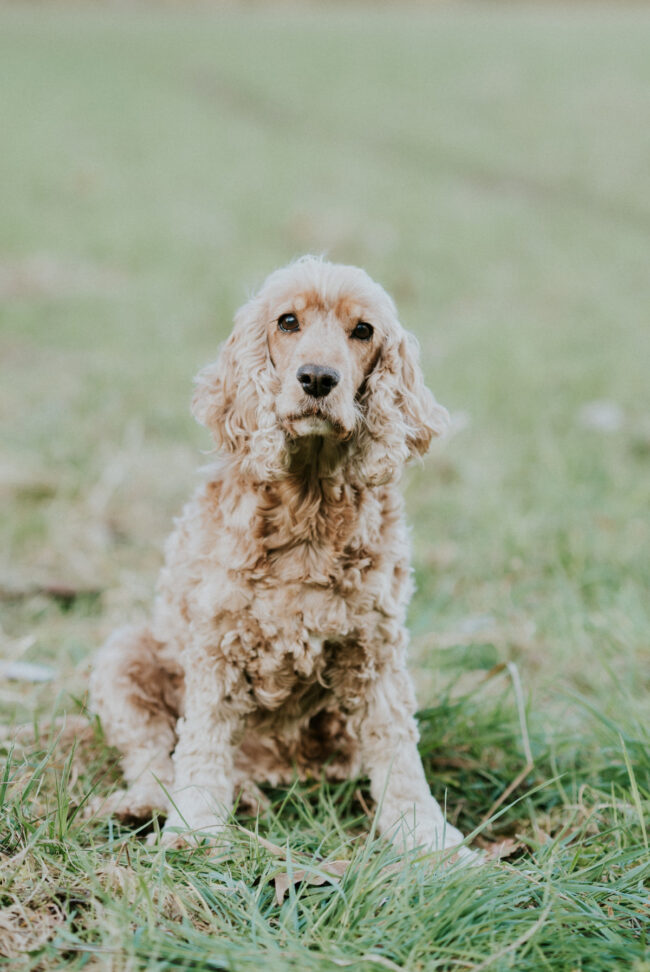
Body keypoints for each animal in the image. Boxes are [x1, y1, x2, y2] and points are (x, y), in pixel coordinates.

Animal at [90, 258, 470, 860]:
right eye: (287, 321)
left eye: (363, 330)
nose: (317, 378)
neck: (308, 504)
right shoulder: (216, 643)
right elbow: (201, 744)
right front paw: (196, 828)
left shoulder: (377, 648)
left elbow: (396, 747)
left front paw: (427, 839)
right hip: (123, 655)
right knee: (152, 753)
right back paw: (151, 803)